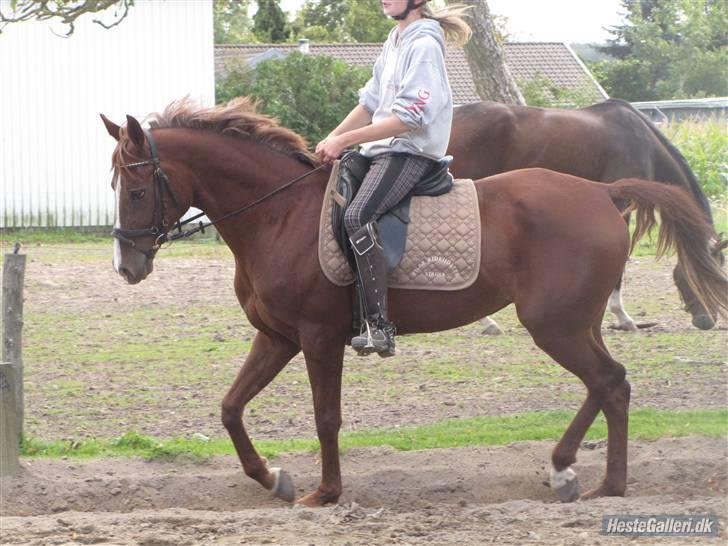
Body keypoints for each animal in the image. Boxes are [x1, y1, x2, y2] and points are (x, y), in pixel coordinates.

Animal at [446, 99, 724, 330]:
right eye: (712, 271)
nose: (707, 320)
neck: (641, 141)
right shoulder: (621, 204)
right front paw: (622, 316)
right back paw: (486, 320)